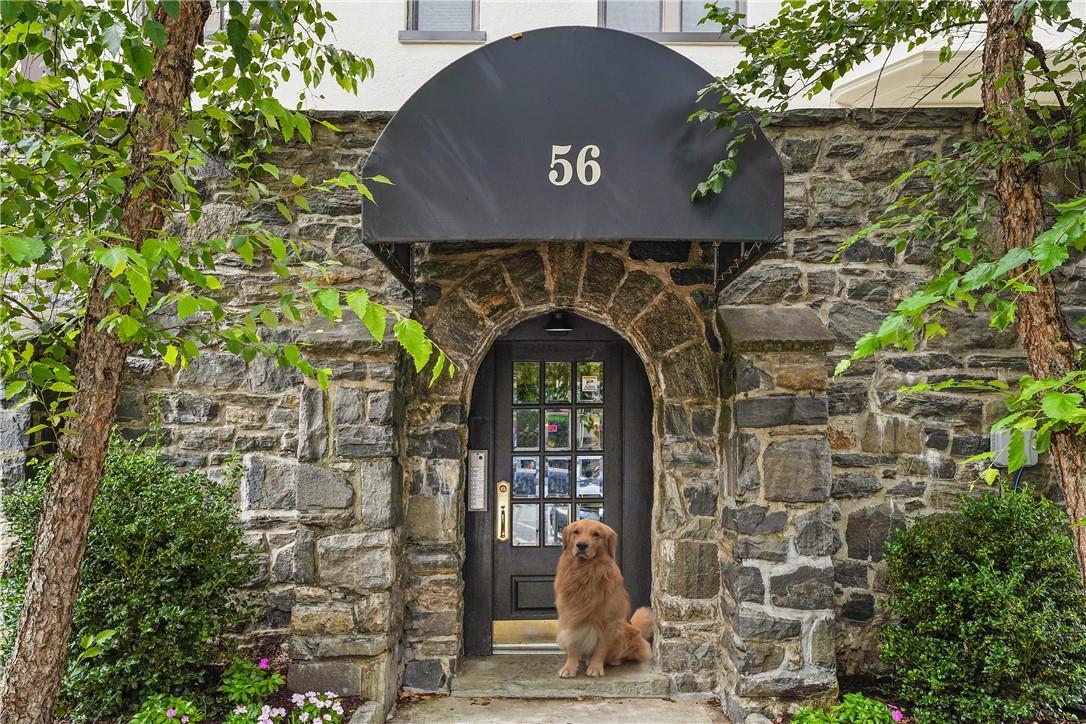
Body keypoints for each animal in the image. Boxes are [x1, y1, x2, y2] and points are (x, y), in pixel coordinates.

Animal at [551, 521, 651, 681]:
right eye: (576, 532)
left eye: (596, 534)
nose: (581, 545)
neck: (585, 572)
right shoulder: (569, 616)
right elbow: (572, 644)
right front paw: (569, 667)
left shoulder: (610, 621)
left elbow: (601, 648)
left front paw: (595, 667)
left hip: (626, 631)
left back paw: (614, 660)